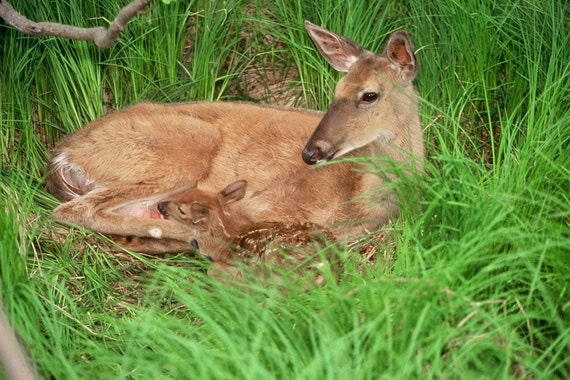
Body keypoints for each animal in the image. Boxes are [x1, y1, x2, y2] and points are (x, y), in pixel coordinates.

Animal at [44, 20, 422, 252]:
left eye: (369, 95)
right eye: (335, 90)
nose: (310, 152)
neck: (359, 199)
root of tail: (64, 153)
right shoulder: (266, 203)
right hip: (184, 147)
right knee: (74, 210)